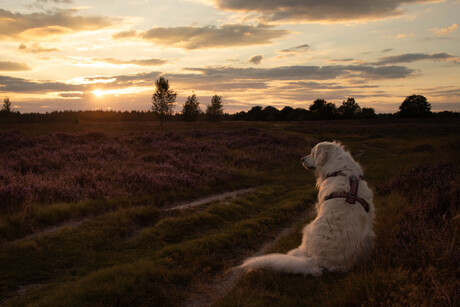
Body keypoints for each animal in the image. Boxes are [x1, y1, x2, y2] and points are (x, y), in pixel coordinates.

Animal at [239, 142, 376, 276]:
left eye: (312, 152)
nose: (302, 159)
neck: (343, 171)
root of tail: (318, 260)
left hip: (306, 229)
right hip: (368, 237)